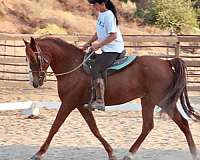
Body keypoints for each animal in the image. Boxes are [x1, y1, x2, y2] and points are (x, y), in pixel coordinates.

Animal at [23, 36, 200, 160]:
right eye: (27, 58)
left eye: (34, 58)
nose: (35, 82)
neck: (74, 66)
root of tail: (167, 63)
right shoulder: (80, 105)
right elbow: (94, 129)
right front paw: (111, 152)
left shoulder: (68, 103)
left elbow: (54, 127)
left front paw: (38, 153)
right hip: (149, 101)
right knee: (154, 126)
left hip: (160, 101)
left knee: (176, 124)